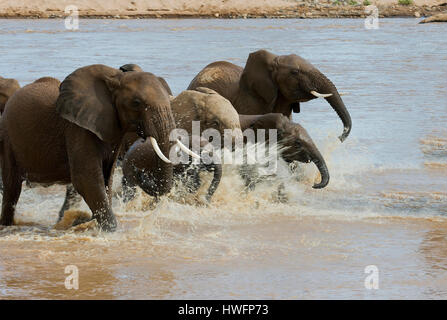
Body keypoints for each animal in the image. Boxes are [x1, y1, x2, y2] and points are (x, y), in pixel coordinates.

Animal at [0, 64, 197, 230]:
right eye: (136, 103)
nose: (141, 173)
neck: (116, 78)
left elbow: (105, 178)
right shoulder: (77, 129)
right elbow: (86, 179)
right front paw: (110, 230)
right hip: (7, 137)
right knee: (12, 188)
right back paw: (7, 226)